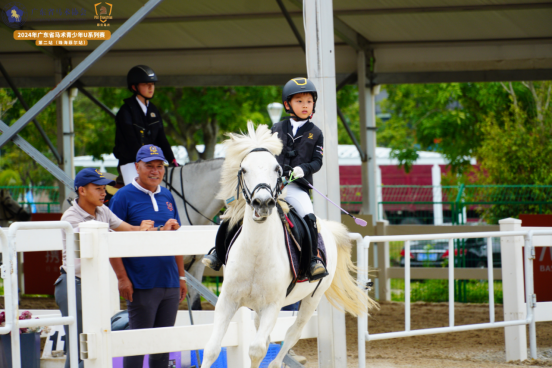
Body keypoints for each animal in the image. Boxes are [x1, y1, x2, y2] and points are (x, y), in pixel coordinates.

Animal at [201, 123, 378, 368]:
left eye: (277, 169)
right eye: (243, 169)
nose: (263, 203)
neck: (255, 252)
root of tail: (328, 228)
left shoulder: (273, 305)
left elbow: (256, 350)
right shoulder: (228, 301)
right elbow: (211, 349)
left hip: (312, 299)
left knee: (291, 335)